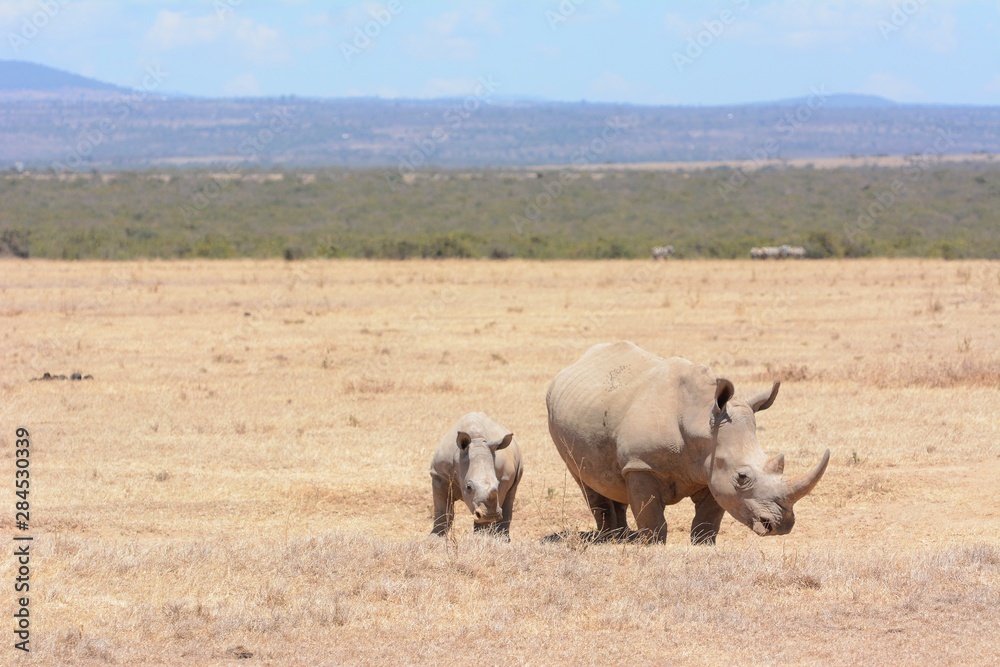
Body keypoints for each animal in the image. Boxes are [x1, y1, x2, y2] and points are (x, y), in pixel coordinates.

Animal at [546, 341, 829, 544]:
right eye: (742, 476)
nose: (781, 526)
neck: (700, 422)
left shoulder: (712, 470)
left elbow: (707, 521)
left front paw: (702, 546)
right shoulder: (641, 464)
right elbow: (652, 520)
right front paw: (652, 546)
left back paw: (622, 538)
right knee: (585, 478)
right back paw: (611, 539)